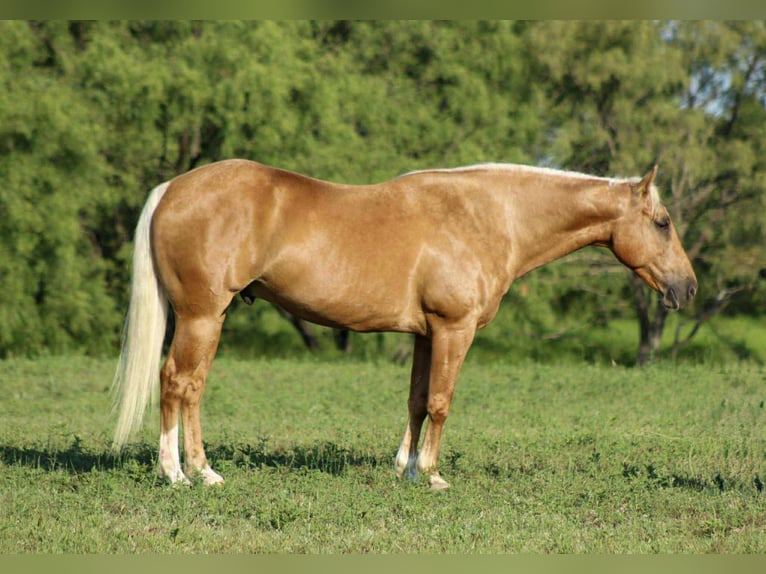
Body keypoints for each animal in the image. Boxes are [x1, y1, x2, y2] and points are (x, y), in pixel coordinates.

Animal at [111, 159, 697, 490]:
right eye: (663, 223)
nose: (687, 289)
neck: (489, 216)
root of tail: (172, 188)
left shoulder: (425, 334)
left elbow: (416, 401)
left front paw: (407, 468)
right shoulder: (454, 329)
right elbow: (440, 402)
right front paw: (433, 476)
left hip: (211, 318)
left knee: (193, 389)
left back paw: (203, 470)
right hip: (201, 316)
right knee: (178, 383)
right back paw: (178, 474)